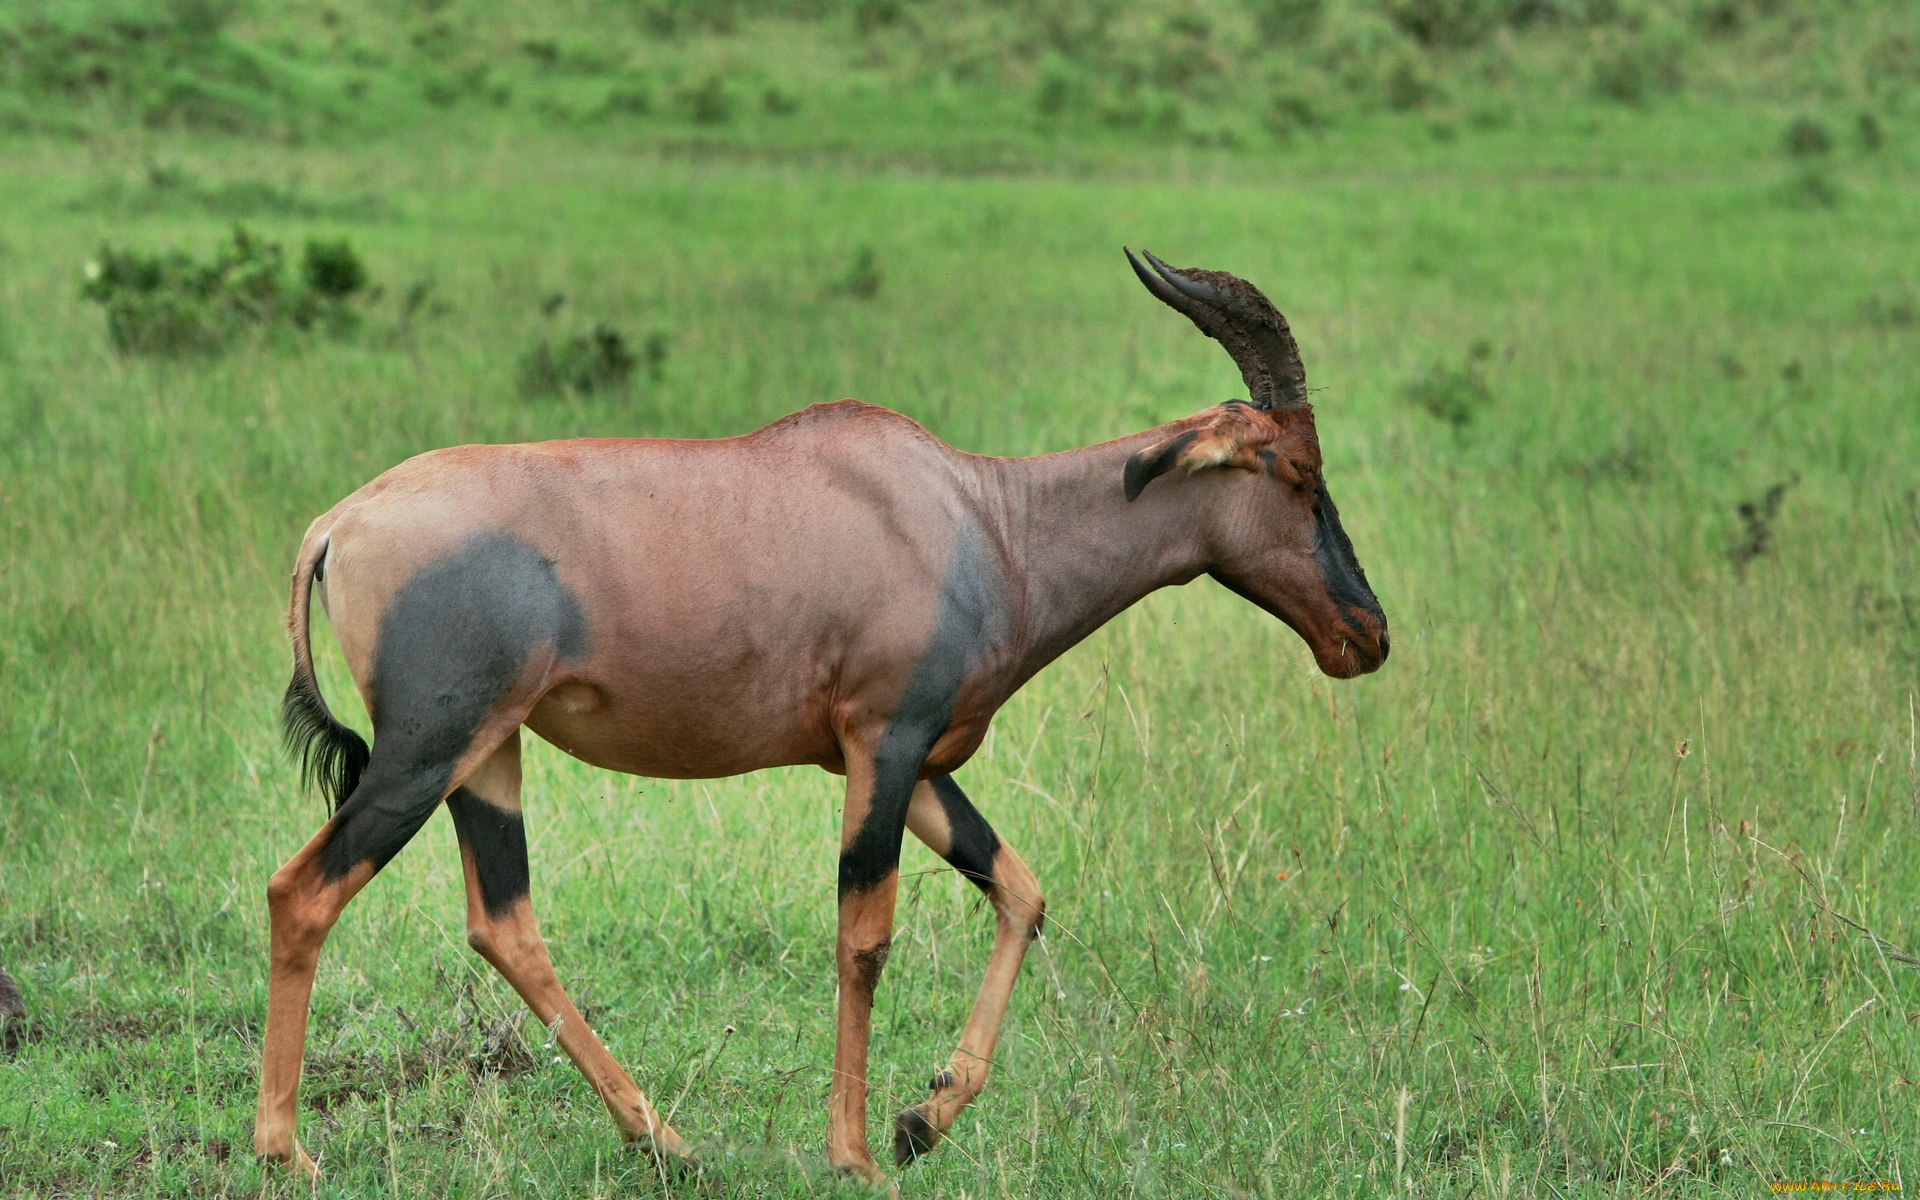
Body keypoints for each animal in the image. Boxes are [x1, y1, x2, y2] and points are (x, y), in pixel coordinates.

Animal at [259, 247, 1397, 1182]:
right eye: (1300, 473)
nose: (1369, 634)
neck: (976, 516)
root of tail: (341, 521)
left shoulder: (921, 760)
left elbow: (1022, 894)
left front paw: (923, 1120)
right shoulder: (881, 745)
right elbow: (866, 938)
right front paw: (854, 1152)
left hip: (489, 754)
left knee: (504, 923)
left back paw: (665, 1140)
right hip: (425, 750)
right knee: (301, 892)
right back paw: (286, 1151)